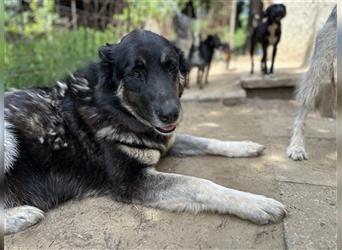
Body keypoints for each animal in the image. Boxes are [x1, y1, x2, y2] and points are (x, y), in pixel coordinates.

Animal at [4, 29, 286, 234]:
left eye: (171, 67)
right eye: (136, 73)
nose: (172, 114)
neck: (116, 108)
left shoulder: (167, 138)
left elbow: (205, 140)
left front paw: (244, 146)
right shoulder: (132, 181)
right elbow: (201, 184)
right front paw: (255, 203)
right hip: (6, 138)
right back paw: (20, 215)